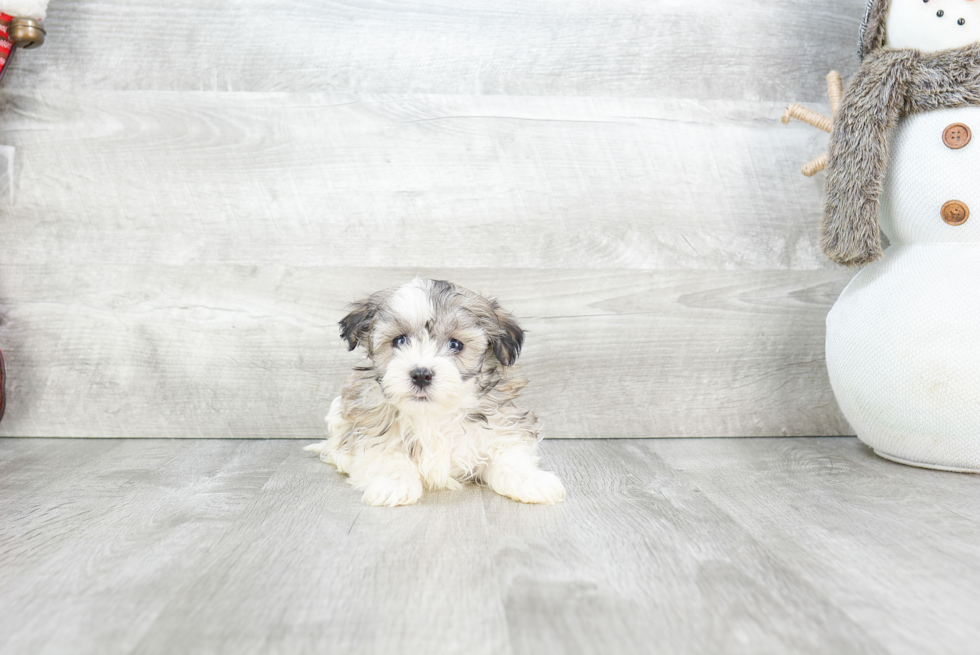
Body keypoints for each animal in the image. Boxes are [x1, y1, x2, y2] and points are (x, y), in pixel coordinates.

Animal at [306, 276, 568, 508]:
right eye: (399, 341)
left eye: (455, 344)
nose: (421, 374)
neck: (433, 413)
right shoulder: (371, 427)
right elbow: (387, 454)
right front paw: (394, 484)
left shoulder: (500, 425)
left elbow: (510, 456)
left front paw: (532, 481)